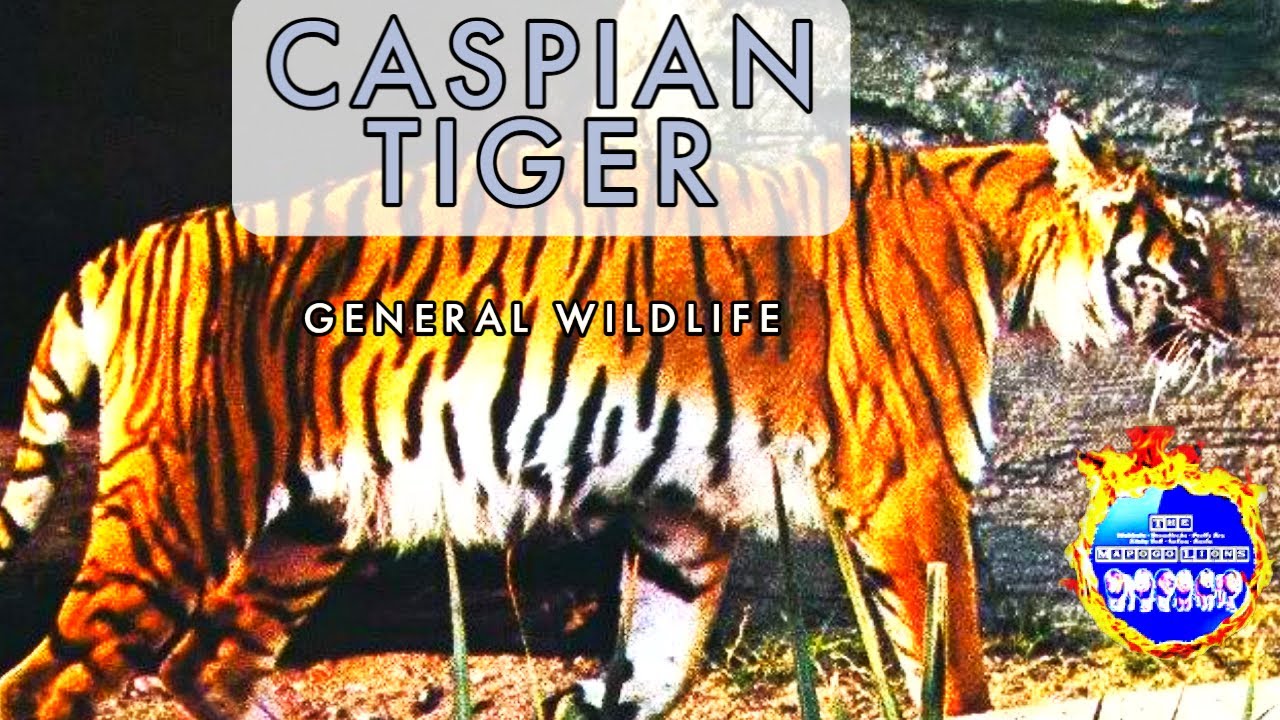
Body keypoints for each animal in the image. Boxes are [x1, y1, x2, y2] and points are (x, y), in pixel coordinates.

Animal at [0, 112, 1241, 720]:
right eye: (1195, 248)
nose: (1239, 321)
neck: (997, 236)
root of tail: (131, 244)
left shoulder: (685, 513)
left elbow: (657, 650)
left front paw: (594, 698)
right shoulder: (909, 481)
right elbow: (954, 655)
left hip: (305, 524)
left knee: (206, 664)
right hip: (180, 502)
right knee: (53, 680)